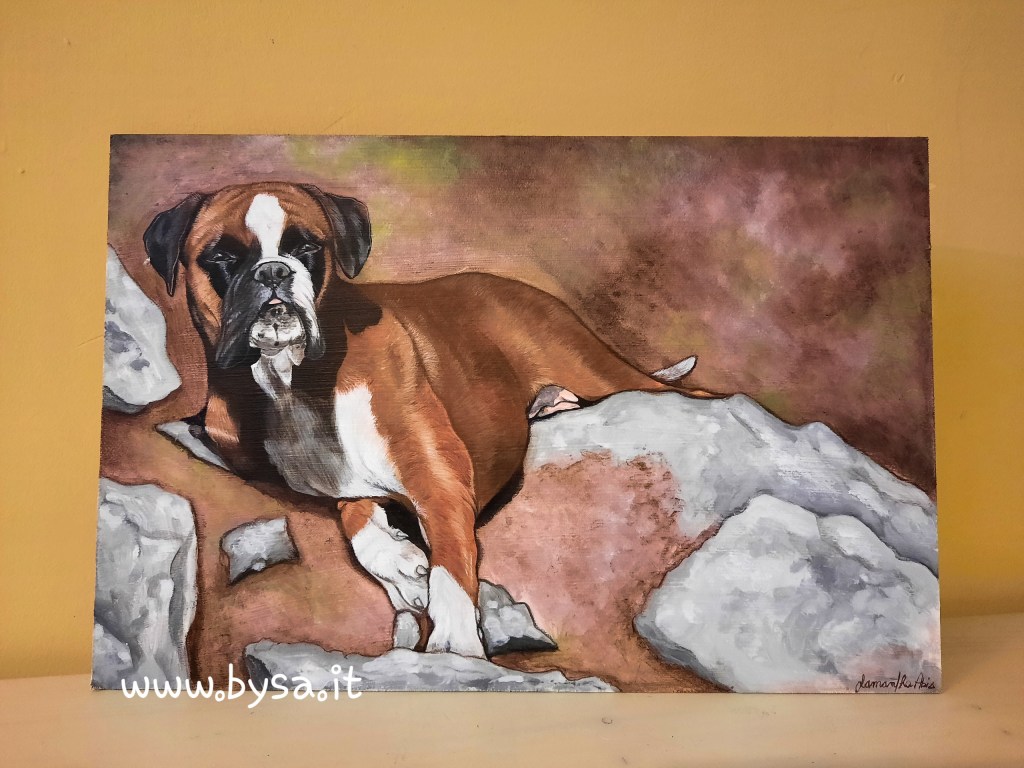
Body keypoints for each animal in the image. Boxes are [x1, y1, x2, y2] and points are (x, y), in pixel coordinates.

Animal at [144, 181, 707, 657]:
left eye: (308, 249)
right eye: (221, 258)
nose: (274, 272)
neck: (289, 385)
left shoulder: (440, 481)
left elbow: (451, 567)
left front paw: (453, 639)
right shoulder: (337, 483)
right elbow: (356, 517)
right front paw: (399, 563)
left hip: (599, 371)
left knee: (690, 390)